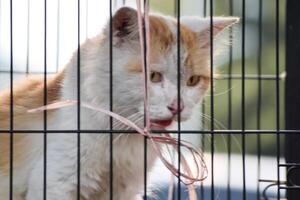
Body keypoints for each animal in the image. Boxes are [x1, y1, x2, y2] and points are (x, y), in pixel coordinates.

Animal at [0, 6, 238, 200]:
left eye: (192, 81)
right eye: (153, 77)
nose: (176, 106)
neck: (122, 136)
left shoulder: (126, 189)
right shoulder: (57, 182)